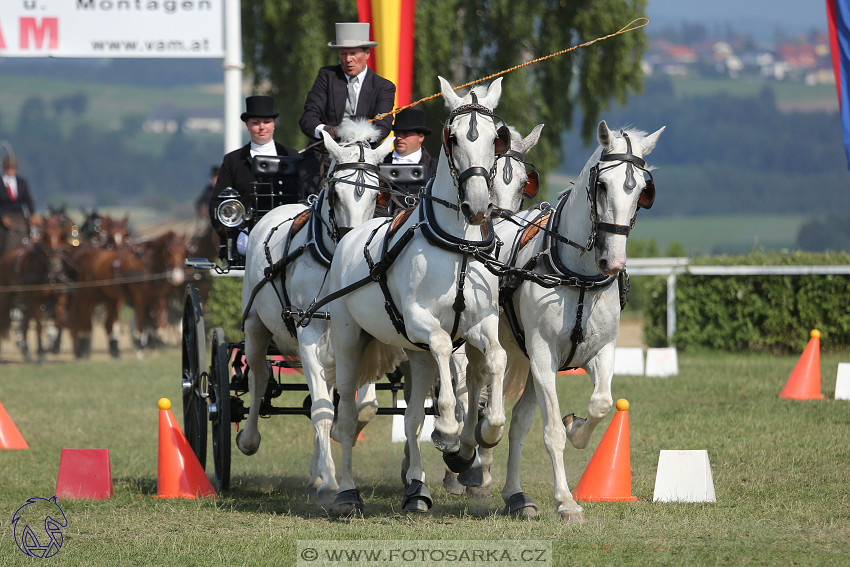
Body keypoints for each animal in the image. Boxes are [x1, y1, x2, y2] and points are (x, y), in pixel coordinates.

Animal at [237, 118, 392, 506]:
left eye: (378, 196)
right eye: (335, 194)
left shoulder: (361, 333)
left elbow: (361, 404)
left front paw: (340, 436)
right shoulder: (307, 330)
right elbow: (320, 408)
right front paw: (331, 483)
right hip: (256, 326)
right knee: (257, 376)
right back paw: (249, 440)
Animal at [316, 75, 504, 516]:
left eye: (496, 138)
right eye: (453, 138)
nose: (477, 206)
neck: (460, 246)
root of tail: (349, 237)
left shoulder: (481, 323)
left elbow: (497, 357)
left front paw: (486, 433)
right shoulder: (421, 318)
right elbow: (442, 343)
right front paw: (449, 430)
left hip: (414, 354)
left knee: (413, 418)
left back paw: (417, 490)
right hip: (348, 338)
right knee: (345, 416)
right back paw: (346, 492)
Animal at [480, 120, 664, 524]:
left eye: (642, 191)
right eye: (602, 185)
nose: (613, 262)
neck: (579, 275)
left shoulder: (600, 351)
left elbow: (601, 403)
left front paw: (577, 429)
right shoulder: (543, 355)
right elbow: (551, 433)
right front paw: (566, 502)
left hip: (527, 361)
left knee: (517, 422)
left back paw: (515, 494)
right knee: (470, 395)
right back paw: (476, 447)